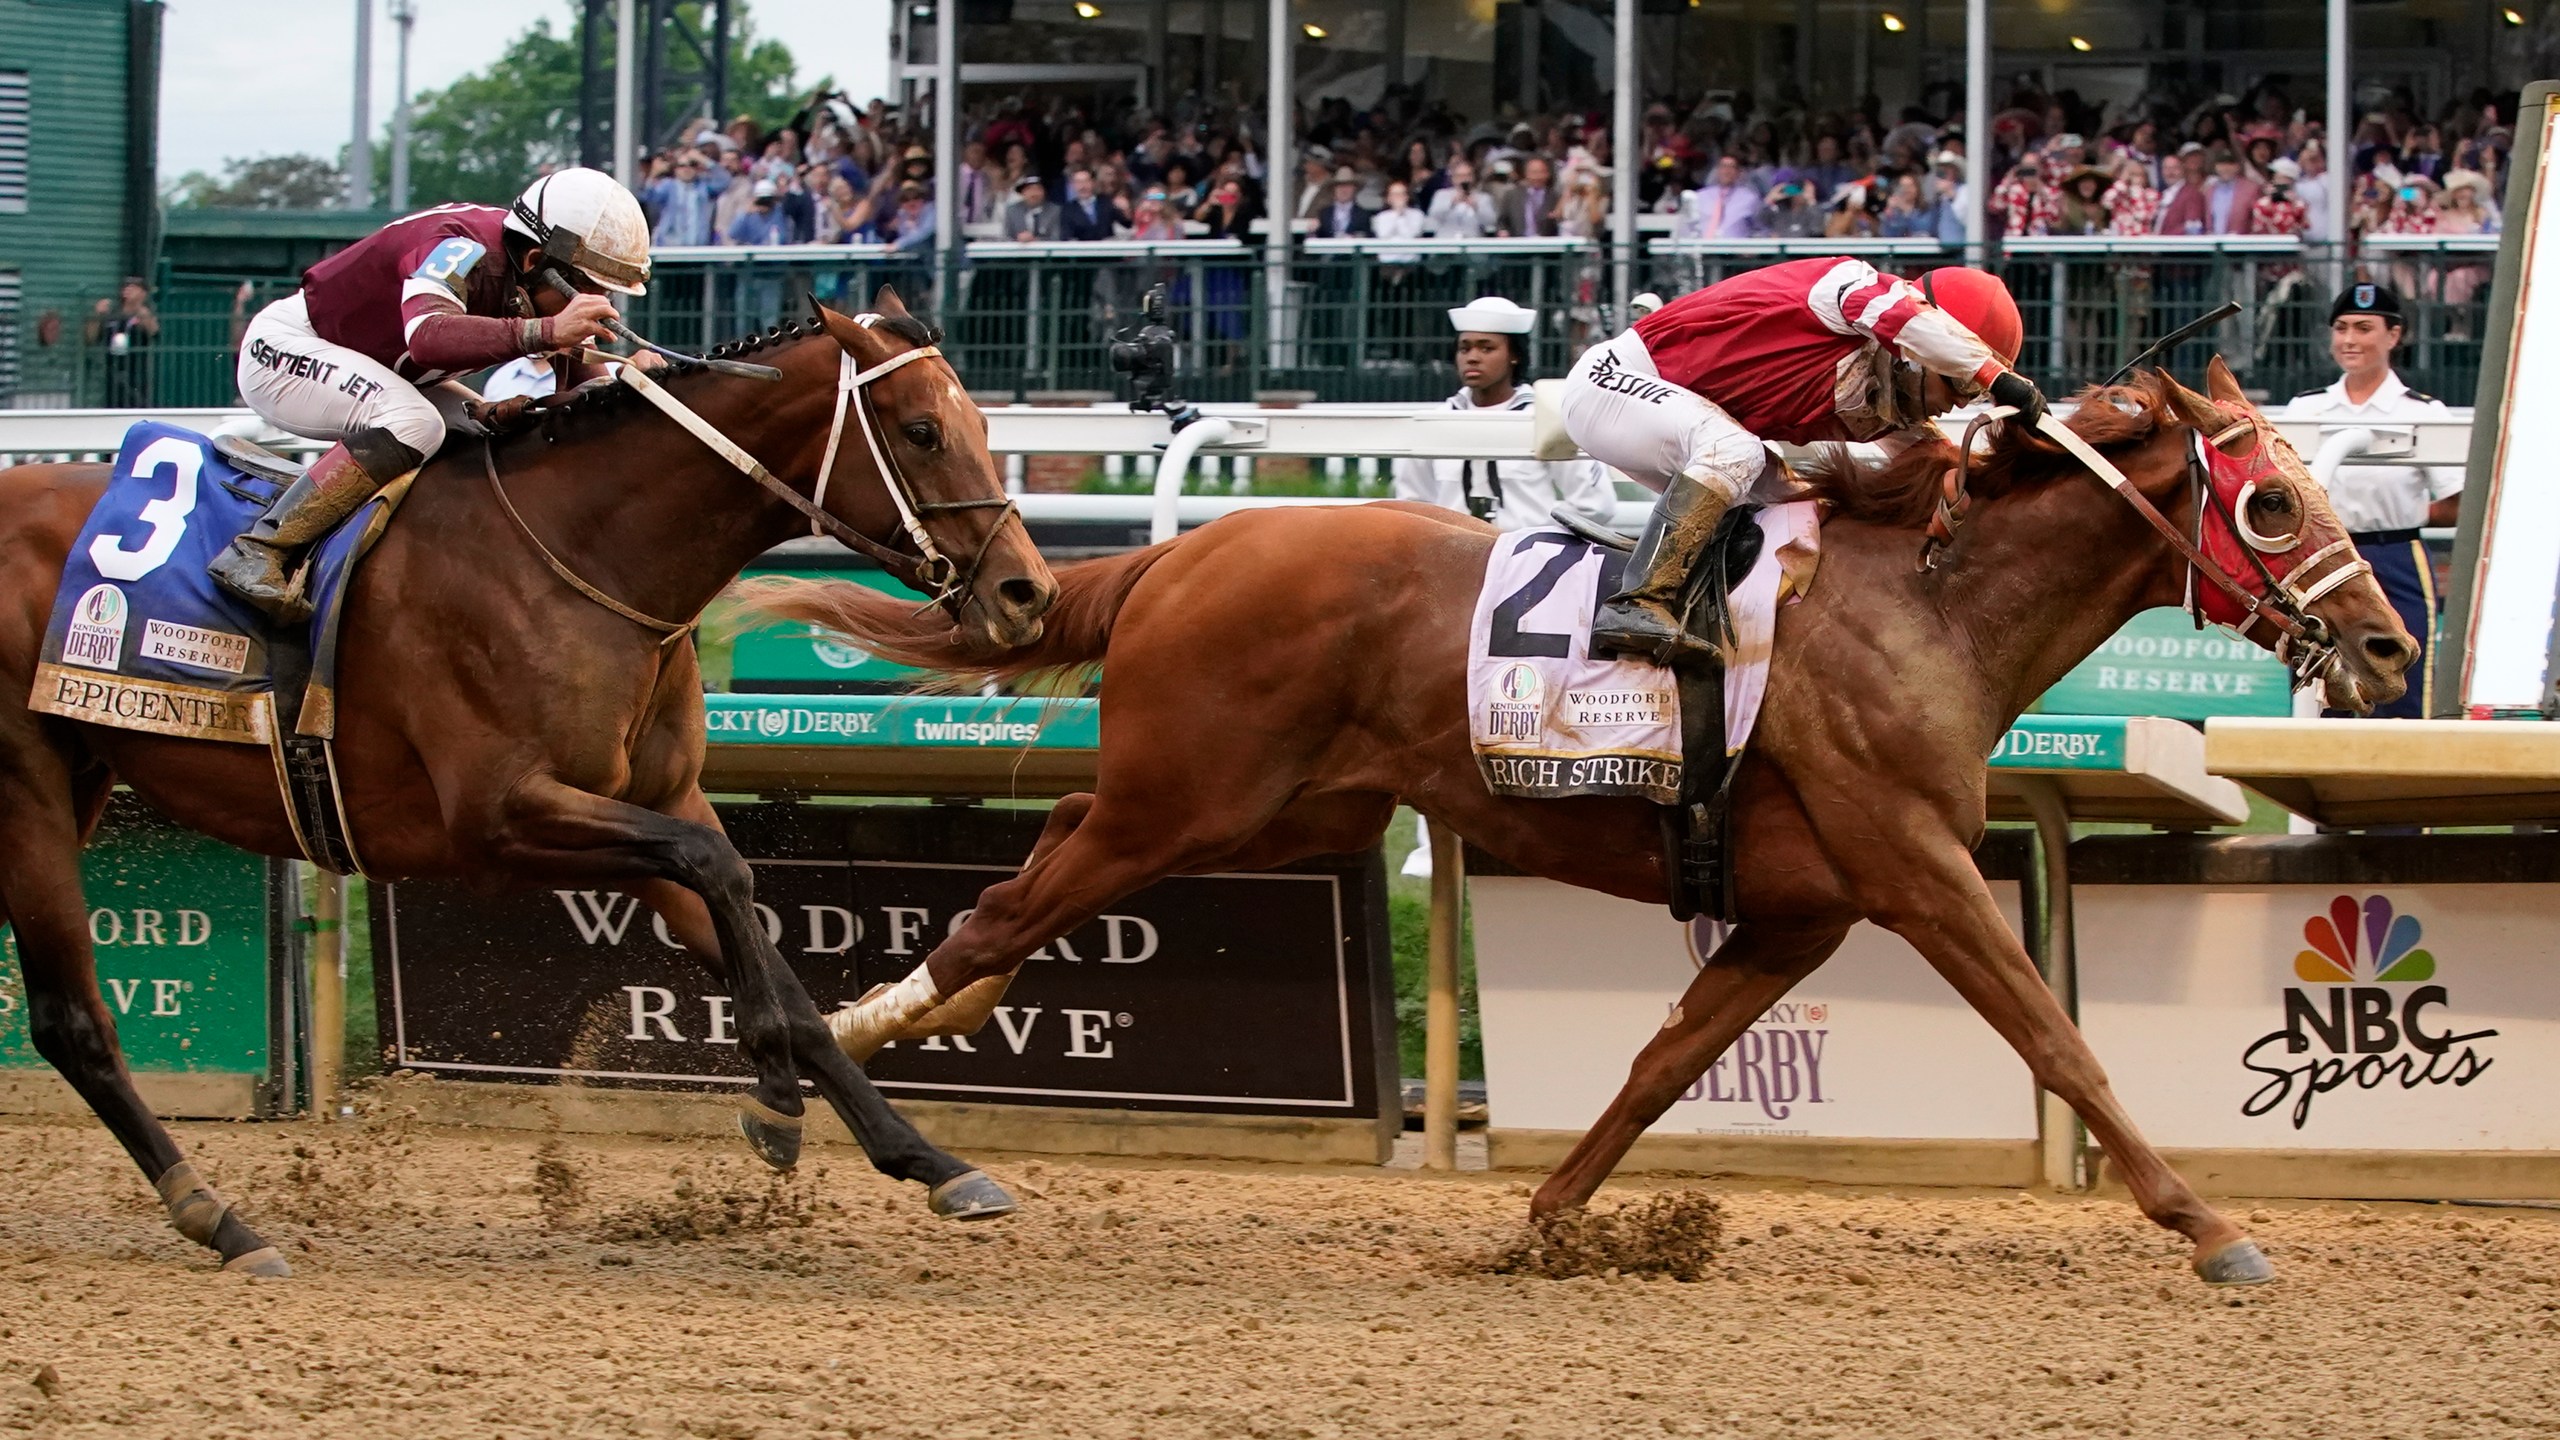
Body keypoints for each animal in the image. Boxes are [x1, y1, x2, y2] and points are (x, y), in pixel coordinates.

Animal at [0, 288, 1054, 1265]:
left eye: (980, 424)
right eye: (922, 430)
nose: (1027, 593)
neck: (584, 555)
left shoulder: (647, 804)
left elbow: (770, 953)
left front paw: (924, 1158)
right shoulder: (501, 819)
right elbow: (720, 871)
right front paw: (777, 1098)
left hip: (80, 774)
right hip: (28, 791)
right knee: (71, 1020)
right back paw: (222, 1220)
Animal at [752, 363, 2416, 1281]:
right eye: (2272, 504)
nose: (2392, 646)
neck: (1927, 605)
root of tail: (1184, 551)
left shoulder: (1803, 909)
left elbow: (1662, 1063)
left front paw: (1545, 1218)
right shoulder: (1918, 871)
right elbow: (2060, 1041)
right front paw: (2211, 1227)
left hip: (1258, 813)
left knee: (1026, 893)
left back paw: (891, 1048)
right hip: (1184, 799)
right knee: (998, 909)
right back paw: (838, 1072)